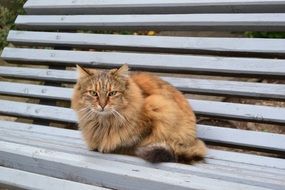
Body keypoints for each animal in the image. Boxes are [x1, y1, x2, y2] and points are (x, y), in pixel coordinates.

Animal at [70, 64, 204, 163]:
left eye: (112, 93)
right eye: (93, 93)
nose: (102, 105)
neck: (104, 123)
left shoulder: (154, 112)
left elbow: (132, 143)